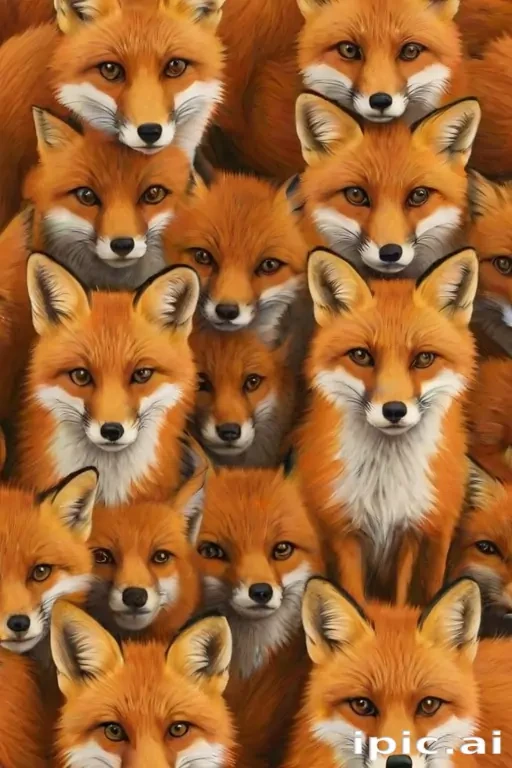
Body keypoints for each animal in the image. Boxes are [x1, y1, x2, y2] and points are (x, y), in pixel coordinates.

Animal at [295, 247, 478, 606]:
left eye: (423, 359)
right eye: (361, 356)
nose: (394, 410)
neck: (385, 489)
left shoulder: (411, 533)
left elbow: (402, 597)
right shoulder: (343, 532)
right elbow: (351, 594)